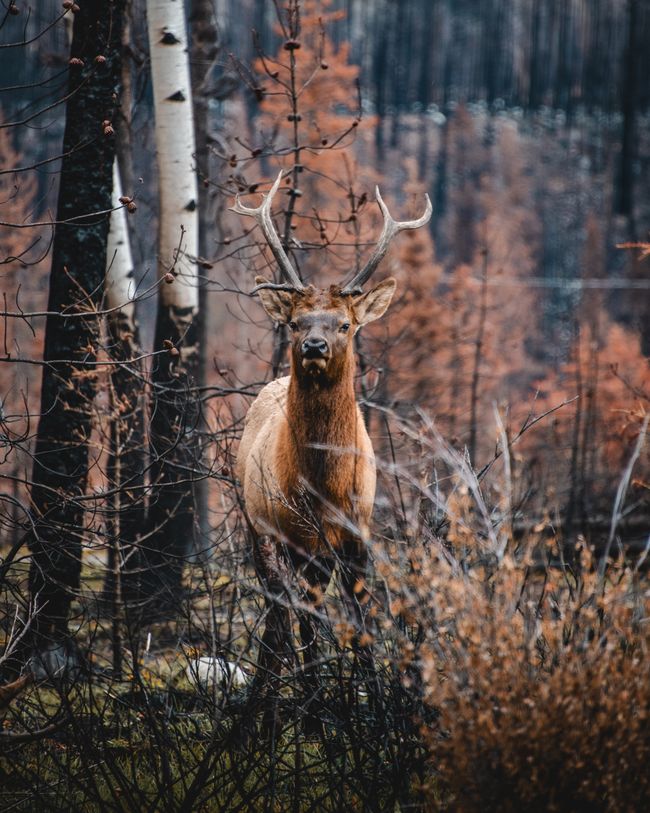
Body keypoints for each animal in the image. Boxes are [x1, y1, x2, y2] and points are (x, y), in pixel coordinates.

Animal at [233, 173, 430, 736]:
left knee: (288, 616)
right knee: (281, 616)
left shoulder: (358, 535)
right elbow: (307, 624)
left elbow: (362, 622)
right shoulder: (296, 537)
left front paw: (380, 711)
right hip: (261, 531)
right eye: (297, 322)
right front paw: (318, 716)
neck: (324, 485)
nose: (315, 345)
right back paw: (270, 708)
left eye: (344, 324)